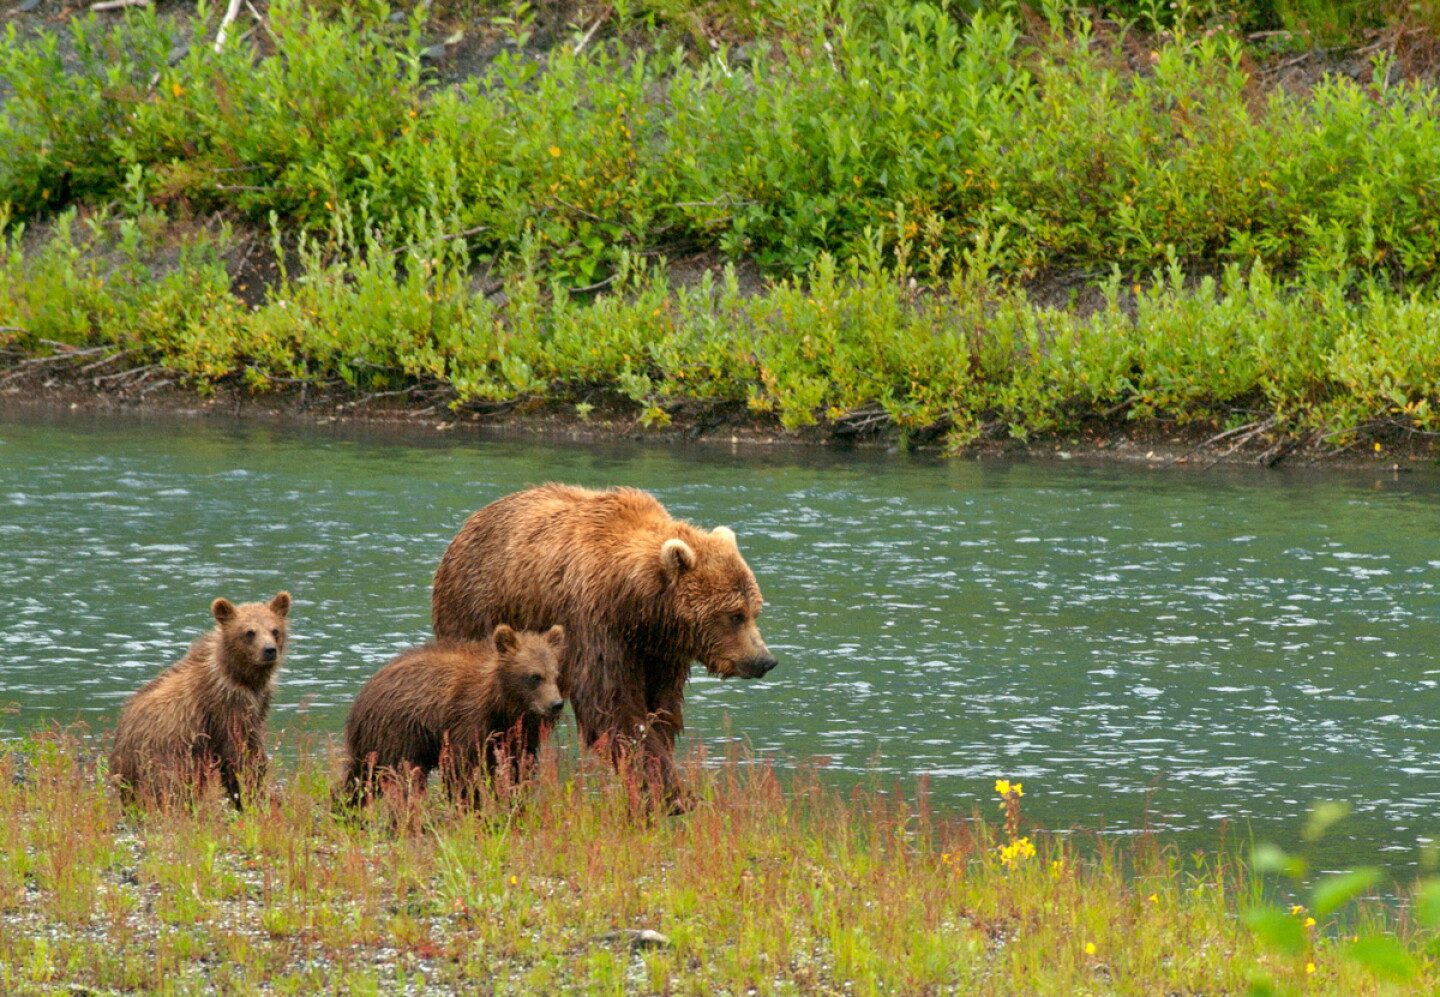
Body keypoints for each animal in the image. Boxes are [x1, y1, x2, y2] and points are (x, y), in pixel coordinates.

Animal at [109, 591, 291, 807]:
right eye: (249, 632)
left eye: (275, 630)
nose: (269, 650)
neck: (242, 677)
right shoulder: (225, 705)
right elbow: (239, 751)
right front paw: (253, 792)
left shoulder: (258, 702)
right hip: (162, 755)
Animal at [341, 624, 566, 806]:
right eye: (534, 676)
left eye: (555, 675)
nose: (556, 704)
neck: (502, 704)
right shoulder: (467, 720)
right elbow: (462, 770)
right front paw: (469, 804)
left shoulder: (516, 732)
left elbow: (517, 767)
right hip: (398, 733)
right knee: (401, 777)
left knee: (360, 777)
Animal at [431, 484, 776, 808]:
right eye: (735, 615)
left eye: (754, 610)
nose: (764, 660)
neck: (639, 606)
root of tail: (466, 526)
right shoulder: (594, 625)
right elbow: (612, 706)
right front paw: (669, 791)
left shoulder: (659, 651)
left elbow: (661, 708)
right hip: (479, 613)